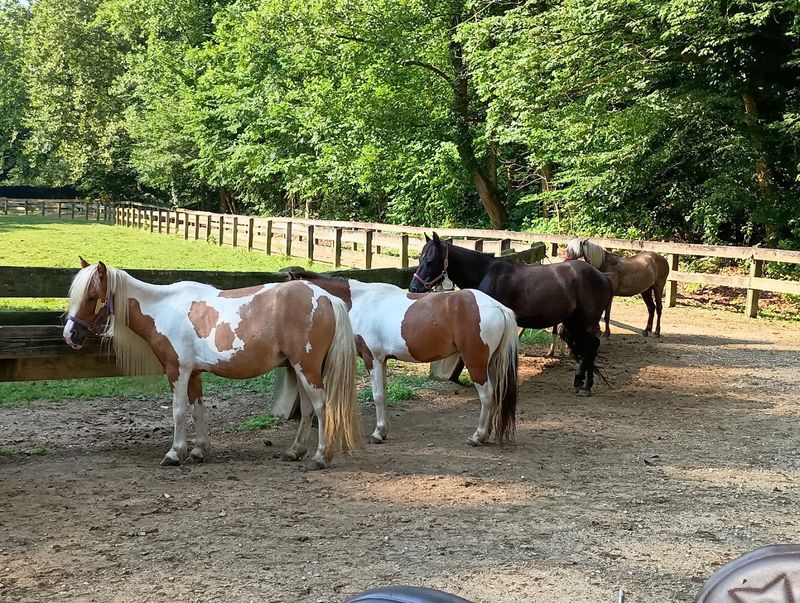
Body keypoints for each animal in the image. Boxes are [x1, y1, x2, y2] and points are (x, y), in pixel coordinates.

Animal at [63, 258, 361, 469]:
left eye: (92, 296)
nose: (70, 335)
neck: (163, 309)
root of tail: (326, 298)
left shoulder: (177, 371)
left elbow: (179, 411)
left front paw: (175, 452)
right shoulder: (194, 374)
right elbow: (197, 410)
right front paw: (198, 450)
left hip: (306, 367)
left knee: (322, 406)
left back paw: (320, 457)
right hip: (299, 368)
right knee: (309, 408)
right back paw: (294, 451)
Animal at [285, 269, 519, 446]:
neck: (360, 302)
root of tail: (499, 307)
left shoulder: (373, 358)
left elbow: (378, 396)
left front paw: (377, 433)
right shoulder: (383, 360)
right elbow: (384, 394)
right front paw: (383, 431)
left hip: (476, 363)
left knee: (487, 396)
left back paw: (477, 437)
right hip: (489, 364)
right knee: (496, 394)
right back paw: (486, 435)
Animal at [411, 232, 611, 396]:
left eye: (429, 261)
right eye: (420, 259)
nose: (414, 288)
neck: (486, 274)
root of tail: (602, 276)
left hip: (586, 322)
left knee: (592, 345)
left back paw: (585, 385)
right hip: (574, 322)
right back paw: (582, 383)